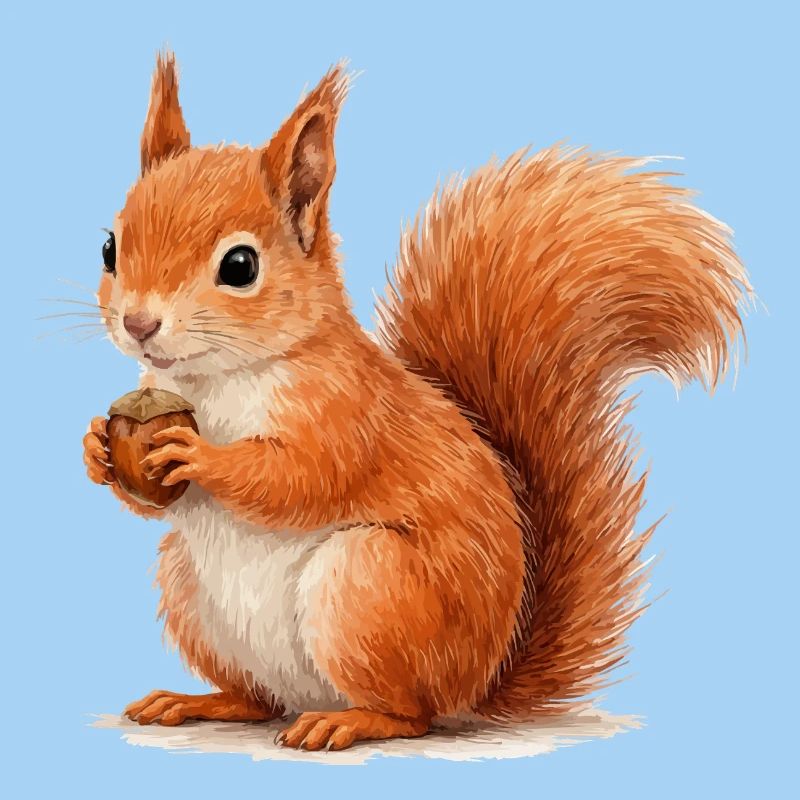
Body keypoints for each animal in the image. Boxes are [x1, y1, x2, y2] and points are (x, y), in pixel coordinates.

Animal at [82, 52, 750, 751]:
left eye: (240, 266)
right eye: (110, 247)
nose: (138, 324)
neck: (215, 379)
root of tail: (476, 685)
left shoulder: (348, 411)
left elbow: (300, 478)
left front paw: (199, 455)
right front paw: (97, 449)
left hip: (370, 586)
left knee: (412, 714)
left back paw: (348, 721)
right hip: (190, 589)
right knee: (258, 699)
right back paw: (200, 701)